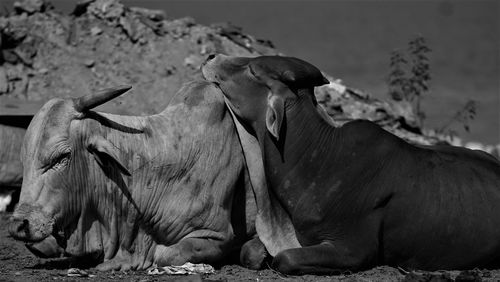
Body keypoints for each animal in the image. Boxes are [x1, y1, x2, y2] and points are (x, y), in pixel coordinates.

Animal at [201, 54, 500, 274]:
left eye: (252, 71)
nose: (212, 56)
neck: (315, 159)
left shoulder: (352, 250)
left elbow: (284, 259)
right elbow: (248, 251)